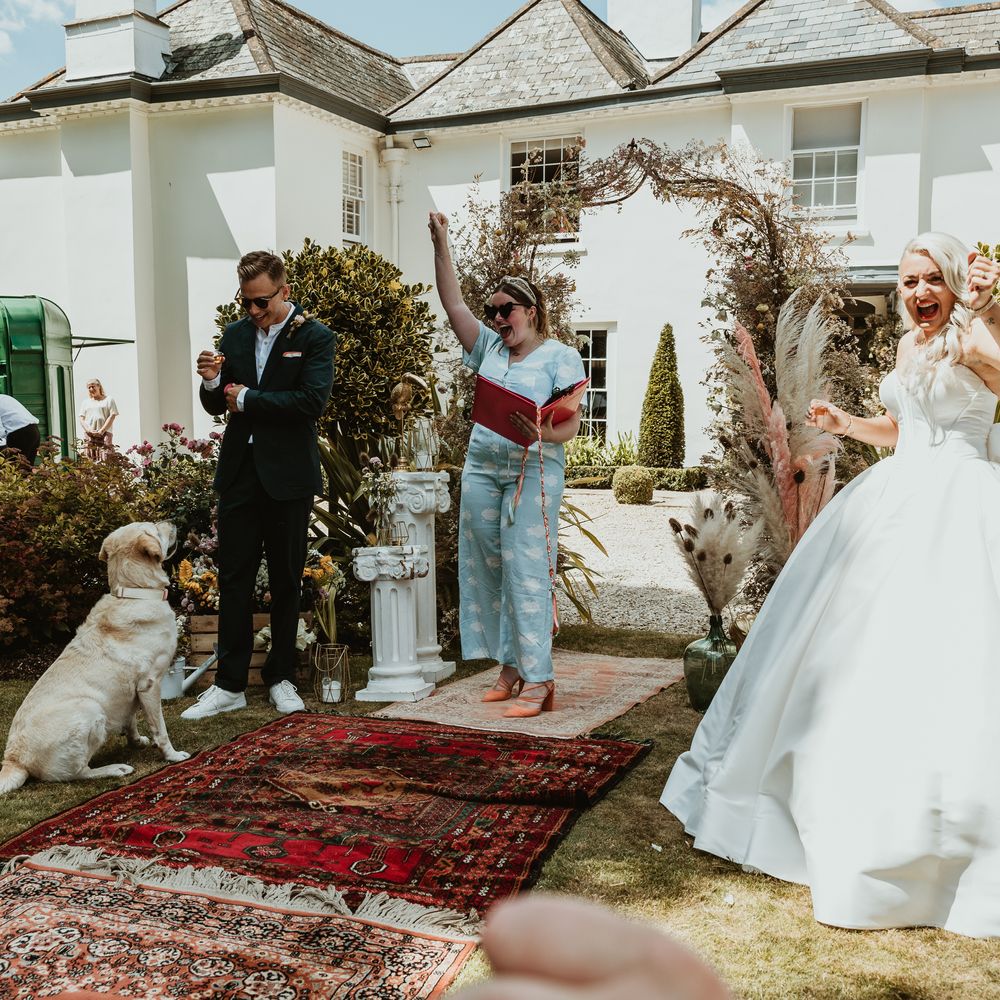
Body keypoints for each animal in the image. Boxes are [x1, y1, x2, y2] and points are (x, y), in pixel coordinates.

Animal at [0, 521, 190, 795]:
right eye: (154, 528)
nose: (171, 522)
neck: (134, 592)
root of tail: (14, 759)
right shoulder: (149, 684)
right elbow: (160, 729)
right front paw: (172, 755)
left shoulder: (130, 691)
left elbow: (131, 719)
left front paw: (136, 741)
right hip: (90, 708)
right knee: (78, 772)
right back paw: (115, 769)